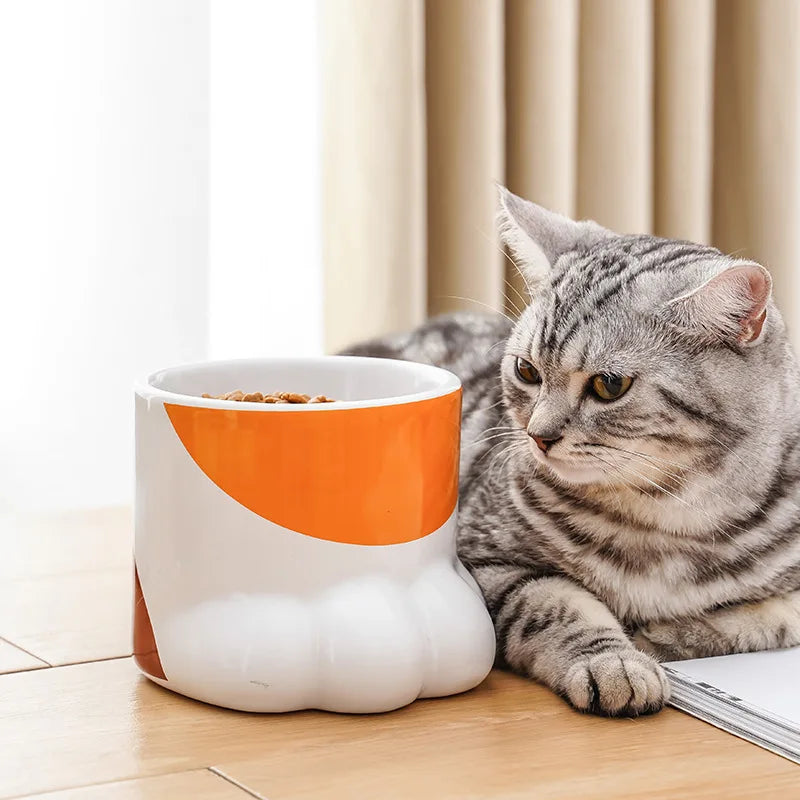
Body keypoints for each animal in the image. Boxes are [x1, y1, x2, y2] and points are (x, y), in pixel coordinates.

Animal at [346, 189, 800, 720]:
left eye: (609, 385)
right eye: (526, 370)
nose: (538, 435)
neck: (667, 517)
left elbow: (768, 618)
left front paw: (668, 634)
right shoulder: (484, 563)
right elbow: (556, 604)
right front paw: (616, 663)